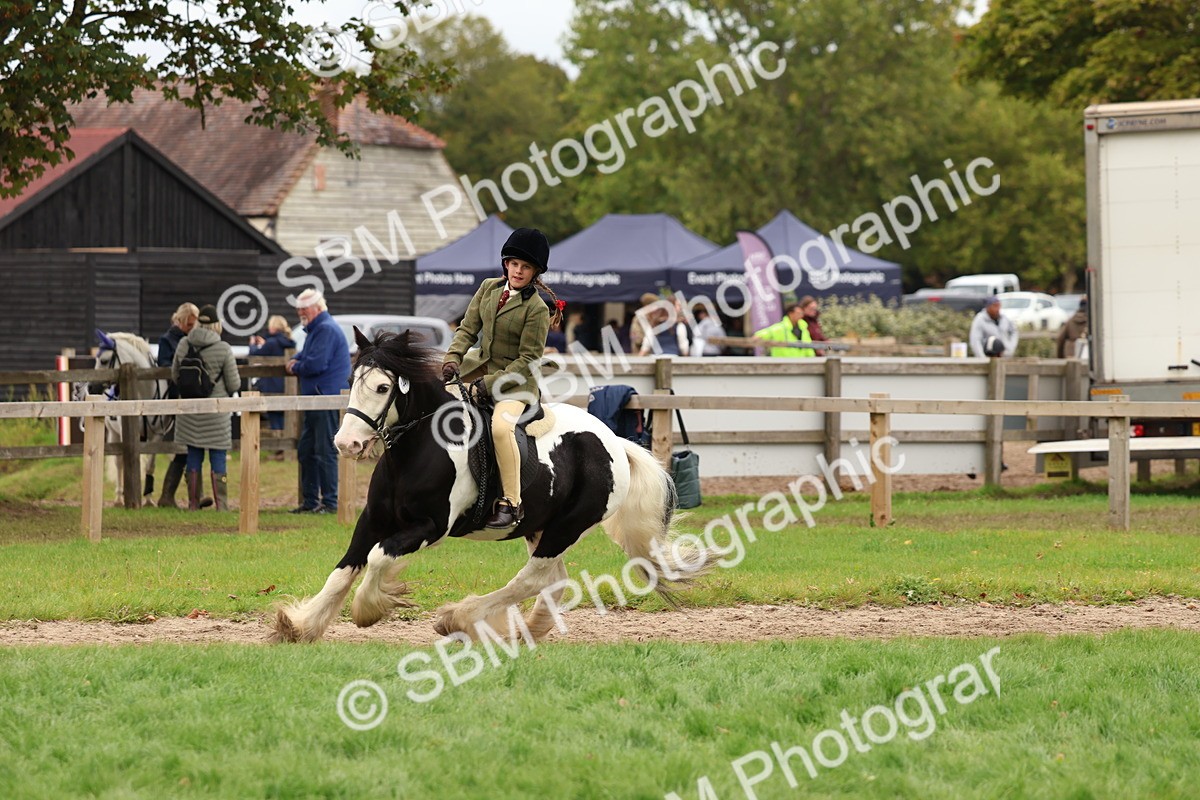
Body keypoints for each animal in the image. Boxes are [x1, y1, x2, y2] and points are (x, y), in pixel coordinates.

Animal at [78, 330, 173, 507]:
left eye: (104, 360)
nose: (92, 387)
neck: (144, 395)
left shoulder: (157, 435)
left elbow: (150, 465)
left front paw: (148, 499)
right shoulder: (125, 433)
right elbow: (126, 461)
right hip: (113, 433)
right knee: (119, 462)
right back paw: (119, 498)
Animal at [273, 329, 715, 643]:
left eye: (383, 388)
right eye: (351, 380)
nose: (346, 444)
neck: (420, 448)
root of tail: (614, 442)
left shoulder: (430, 528)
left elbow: (380, 557)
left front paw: (368, 609)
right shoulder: (373, 519)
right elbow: (344, 569)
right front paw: (300, 626)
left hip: (566, 527)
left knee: (532, 579)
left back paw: (461, 618)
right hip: (539, 526)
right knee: (553, 580)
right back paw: (520, 633)